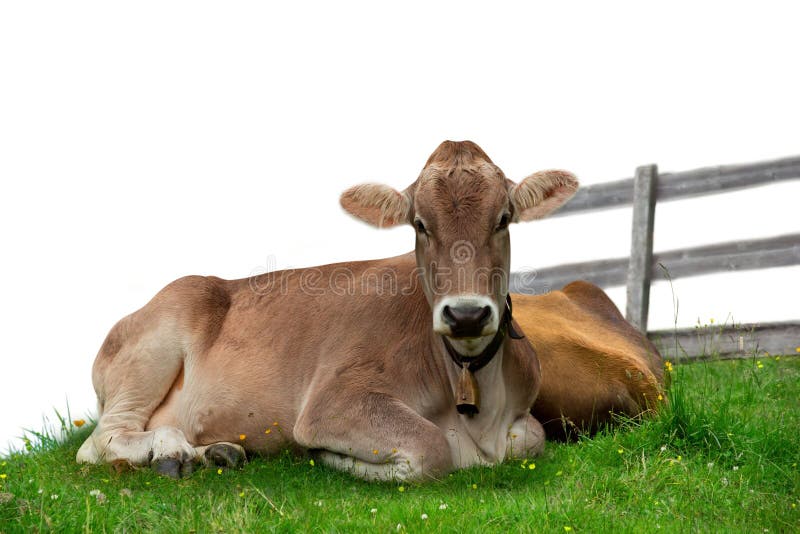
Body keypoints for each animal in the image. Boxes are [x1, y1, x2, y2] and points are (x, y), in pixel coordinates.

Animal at [76, 140, 579, 481]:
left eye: (503, 219)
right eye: (420, 224)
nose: (468, 315)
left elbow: (533, 438)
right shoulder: (331, 402)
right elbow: (431, 447)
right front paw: (329, 457)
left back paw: (218, 453)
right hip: (156, 341)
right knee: (100, 441)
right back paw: (170, 450)